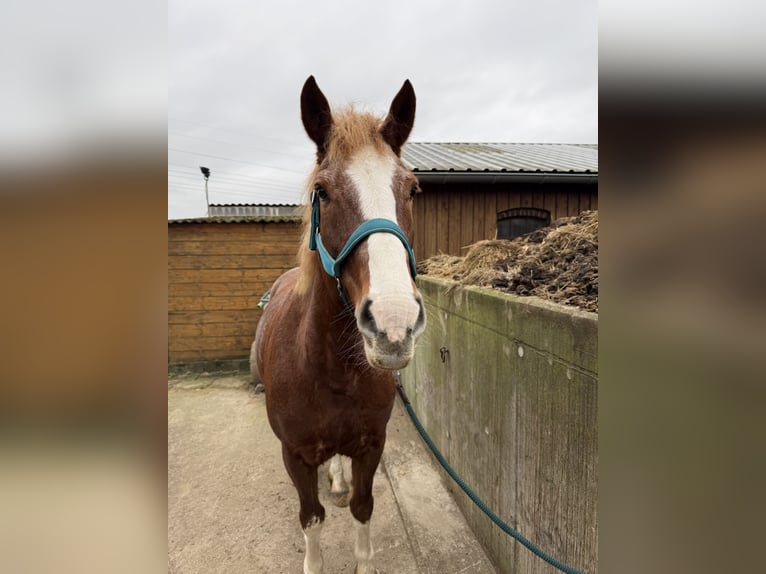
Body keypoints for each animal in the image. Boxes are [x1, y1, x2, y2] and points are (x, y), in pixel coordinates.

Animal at [251, 76, 426, 574]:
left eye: (412, 189)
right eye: (323, 191)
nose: (393, 322)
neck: (329, 369)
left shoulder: (371, 445)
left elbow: (363, 508)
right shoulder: (295, 456)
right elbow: (311, 518)